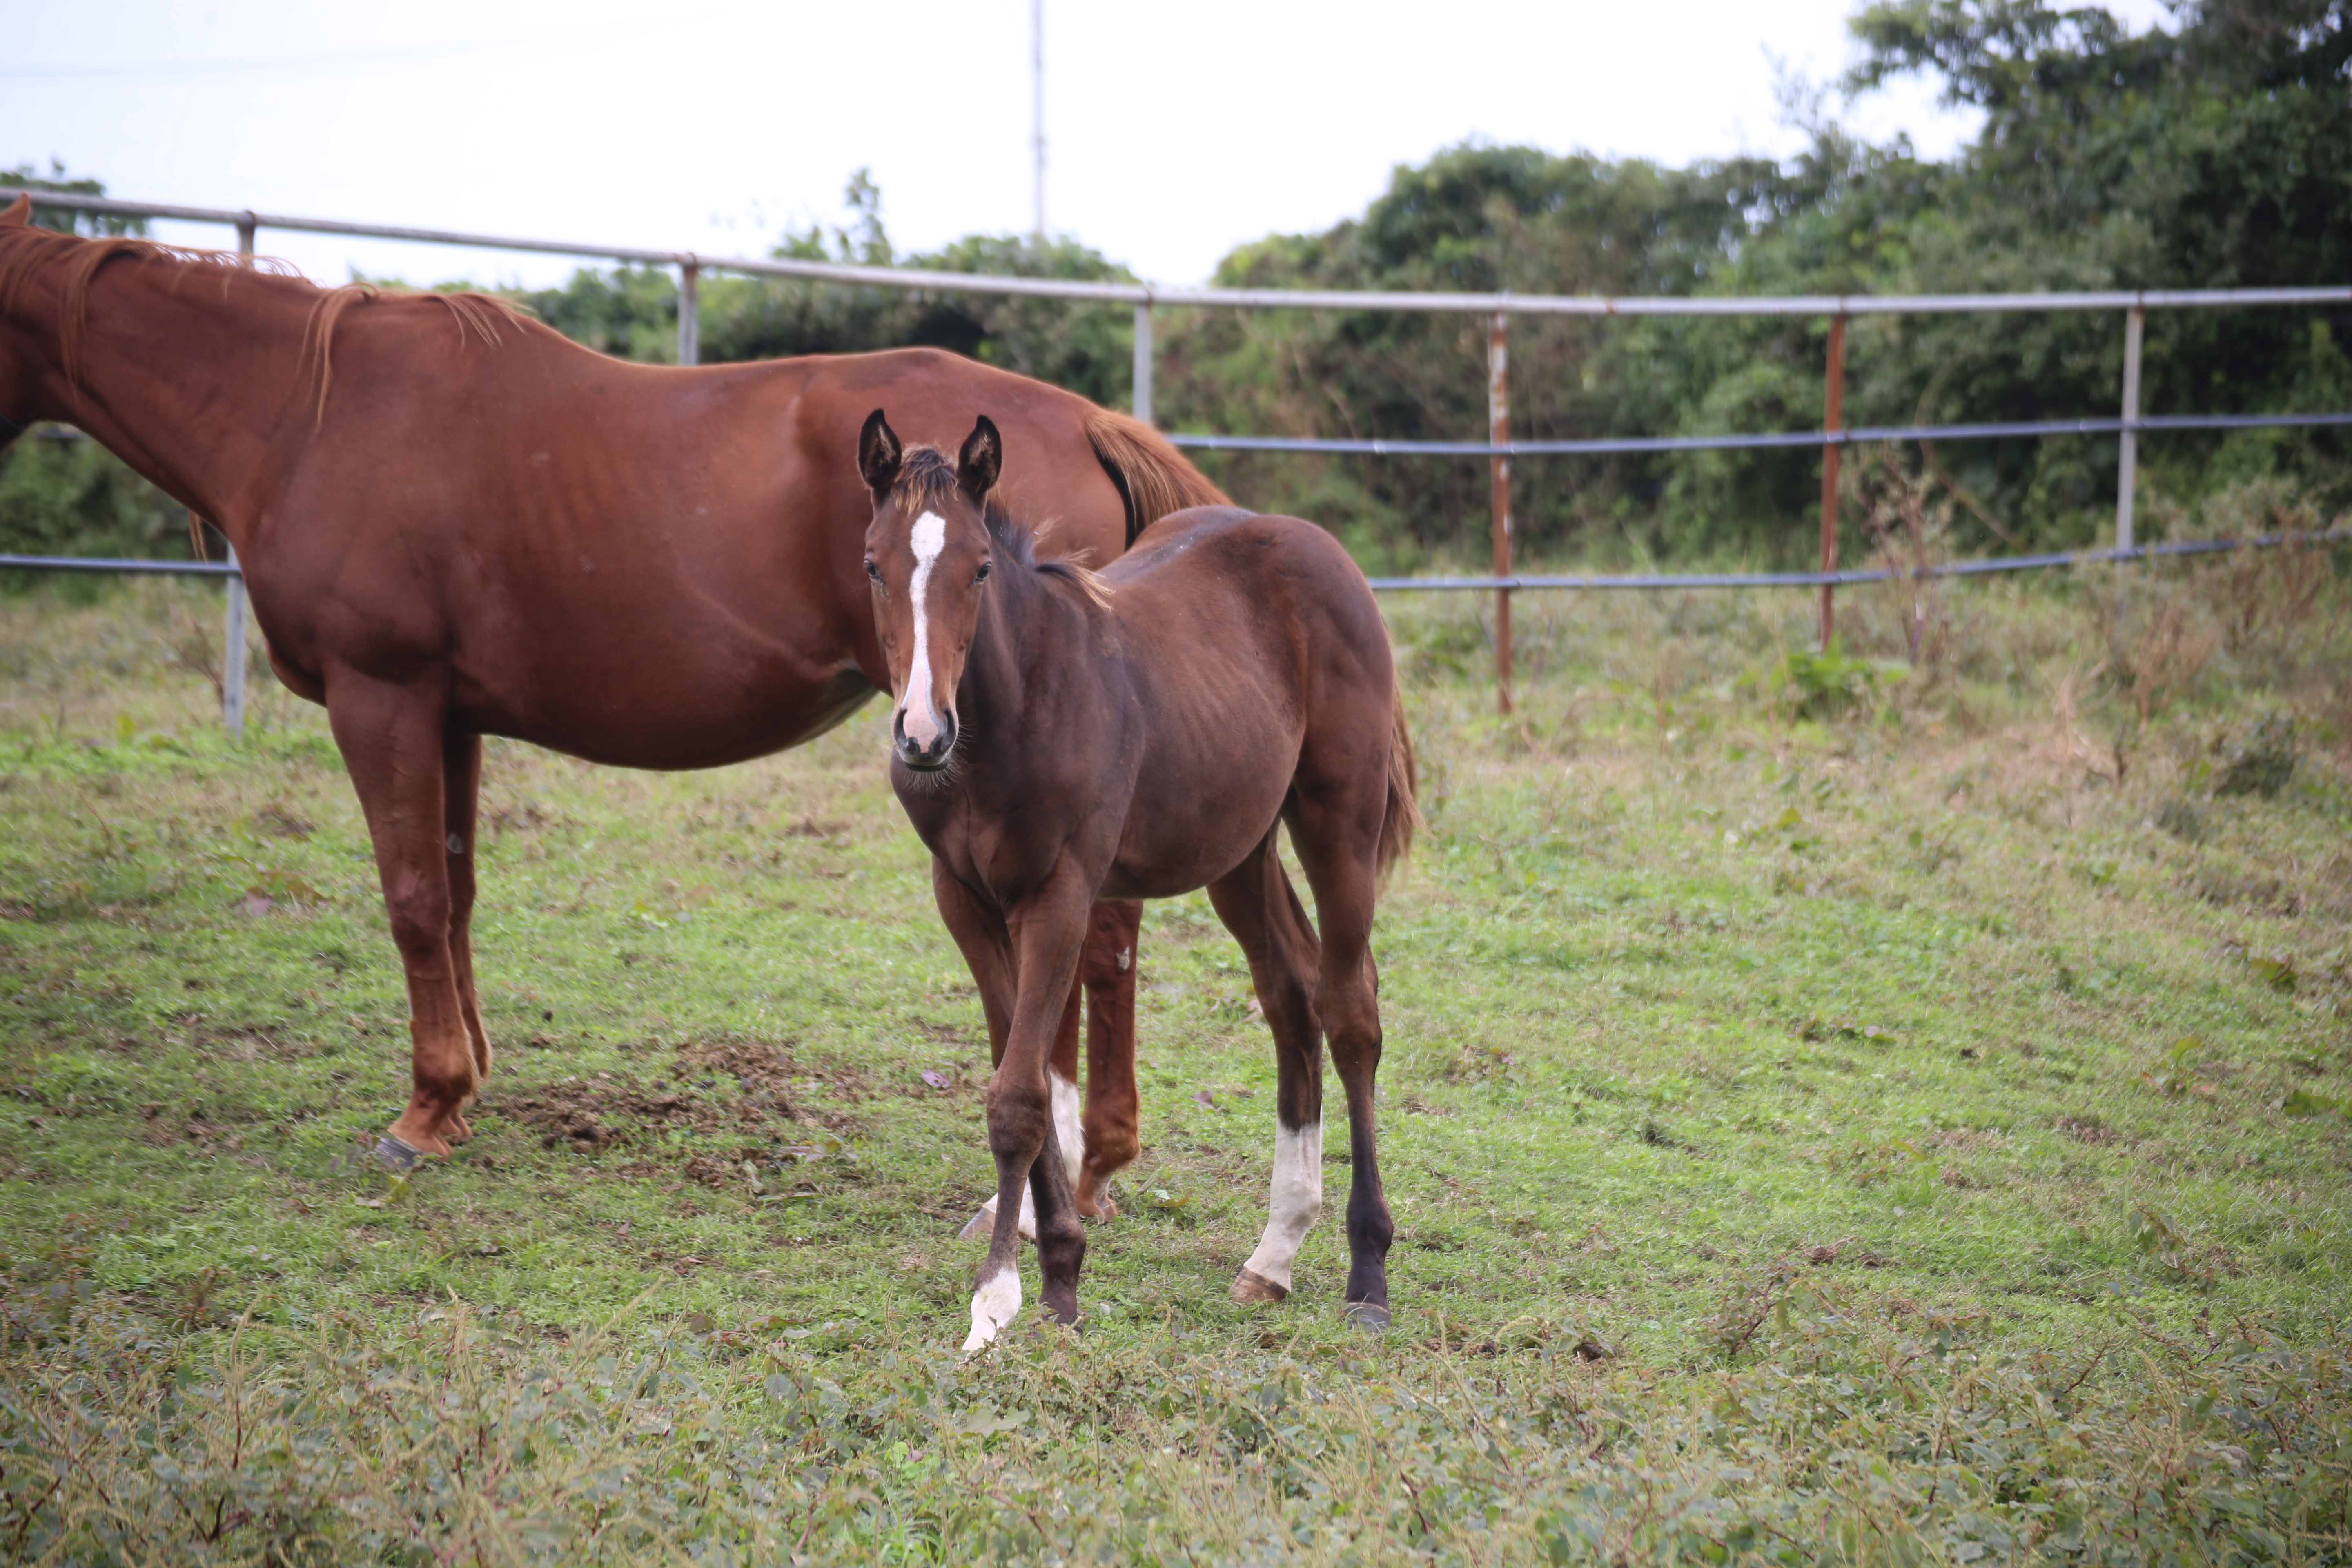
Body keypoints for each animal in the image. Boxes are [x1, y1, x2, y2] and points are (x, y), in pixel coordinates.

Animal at [0, 193, 1223, 1189]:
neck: (310, 415)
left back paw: (1086, 1160)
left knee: (1101, 939)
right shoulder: (448, 715)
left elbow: (410, 899)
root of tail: (1083, 419)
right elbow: (457, 893)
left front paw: (421, 1111)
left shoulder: (379, 698)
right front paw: (463, 1090)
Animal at [861, 416, 1421, 1354]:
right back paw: (1274, 1255)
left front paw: (997, 1301)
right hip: (1239, 851)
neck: (1009, 716)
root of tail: (1315, 545)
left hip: (1337, 821)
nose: (923, 734)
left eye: (980, 567)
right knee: (1291, 995)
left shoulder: (1062, 894)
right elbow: (1025, 1080)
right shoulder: (964, 899)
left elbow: (1020, 1095)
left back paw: (1368, 1274)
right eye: (874, 564)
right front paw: (1059, 1278)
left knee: (1350, 1010)